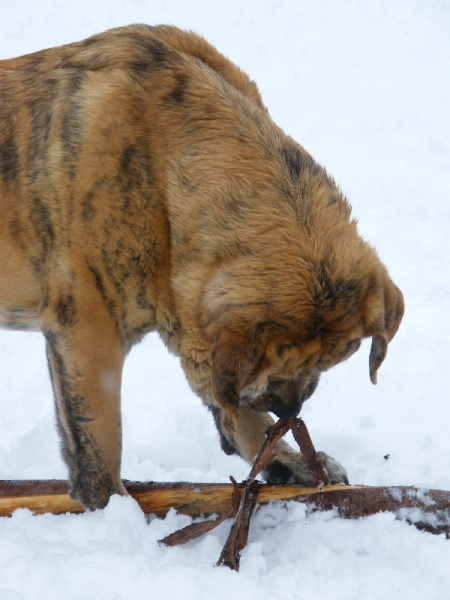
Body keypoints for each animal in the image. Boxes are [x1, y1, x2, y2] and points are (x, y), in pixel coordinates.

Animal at [0, 25, 404, 508]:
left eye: (330, 362)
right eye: (286, 367)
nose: (291, 410)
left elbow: (237, 409)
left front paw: (290, 461)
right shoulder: (89, 330)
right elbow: (100, 436)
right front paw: (113, 509)